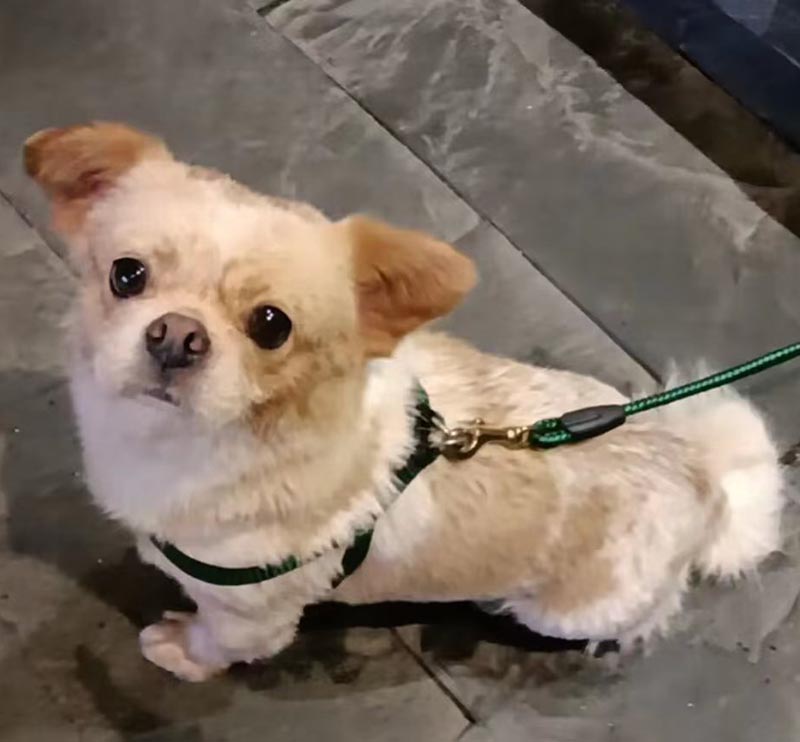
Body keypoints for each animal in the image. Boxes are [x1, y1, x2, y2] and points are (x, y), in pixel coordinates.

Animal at [24, 122, 784, 681]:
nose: (177, 336)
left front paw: (183, 653)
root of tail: (705, 482)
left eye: (271, 325)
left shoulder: (251, 616)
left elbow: (221, 643)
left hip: (573, 610)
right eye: (126, 275)